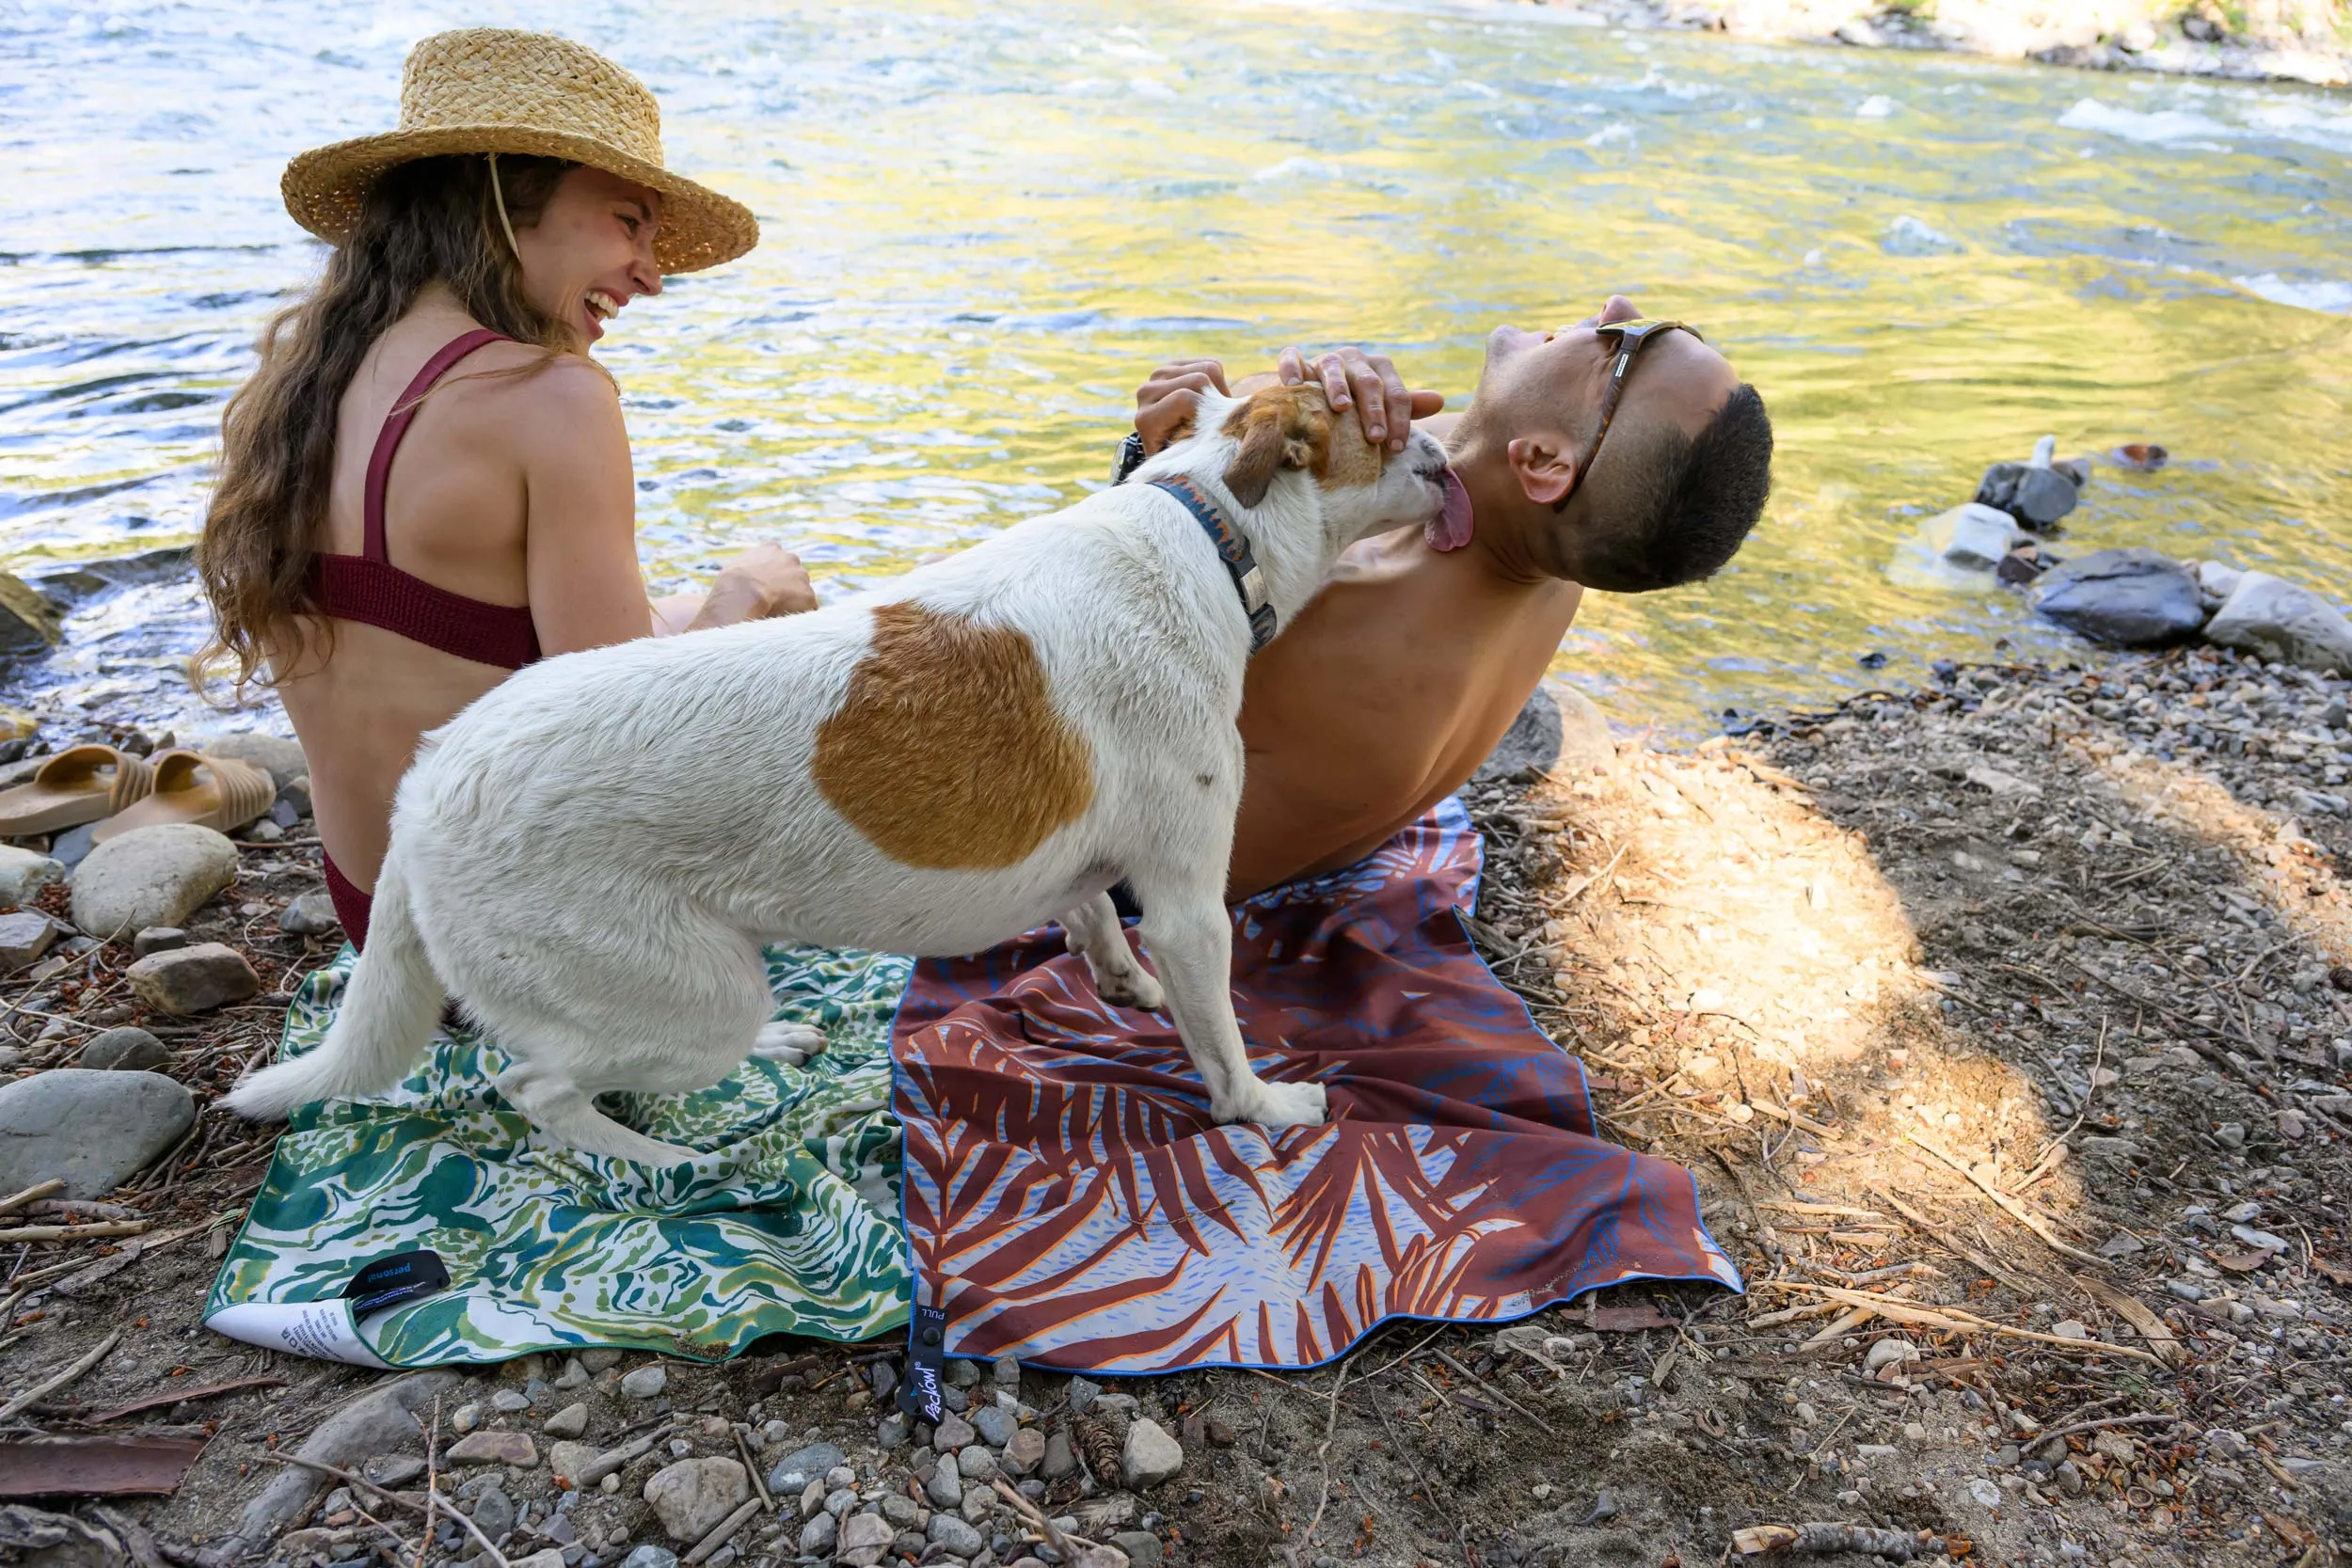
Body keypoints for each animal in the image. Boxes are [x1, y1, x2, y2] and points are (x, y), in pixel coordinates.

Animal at [224, 380, 1468, 1165]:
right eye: (1392, 421)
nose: (1450, 453)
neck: (1208, 529)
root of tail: (430, 779)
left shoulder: (1097, 873)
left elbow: (1093, 929)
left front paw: (1124, 986)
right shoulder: (1190, 899)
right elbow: (1220, 1034)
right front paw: (1262, 1103)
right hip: (689, 998)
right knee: (535, 1087)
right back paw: (658, 1160)